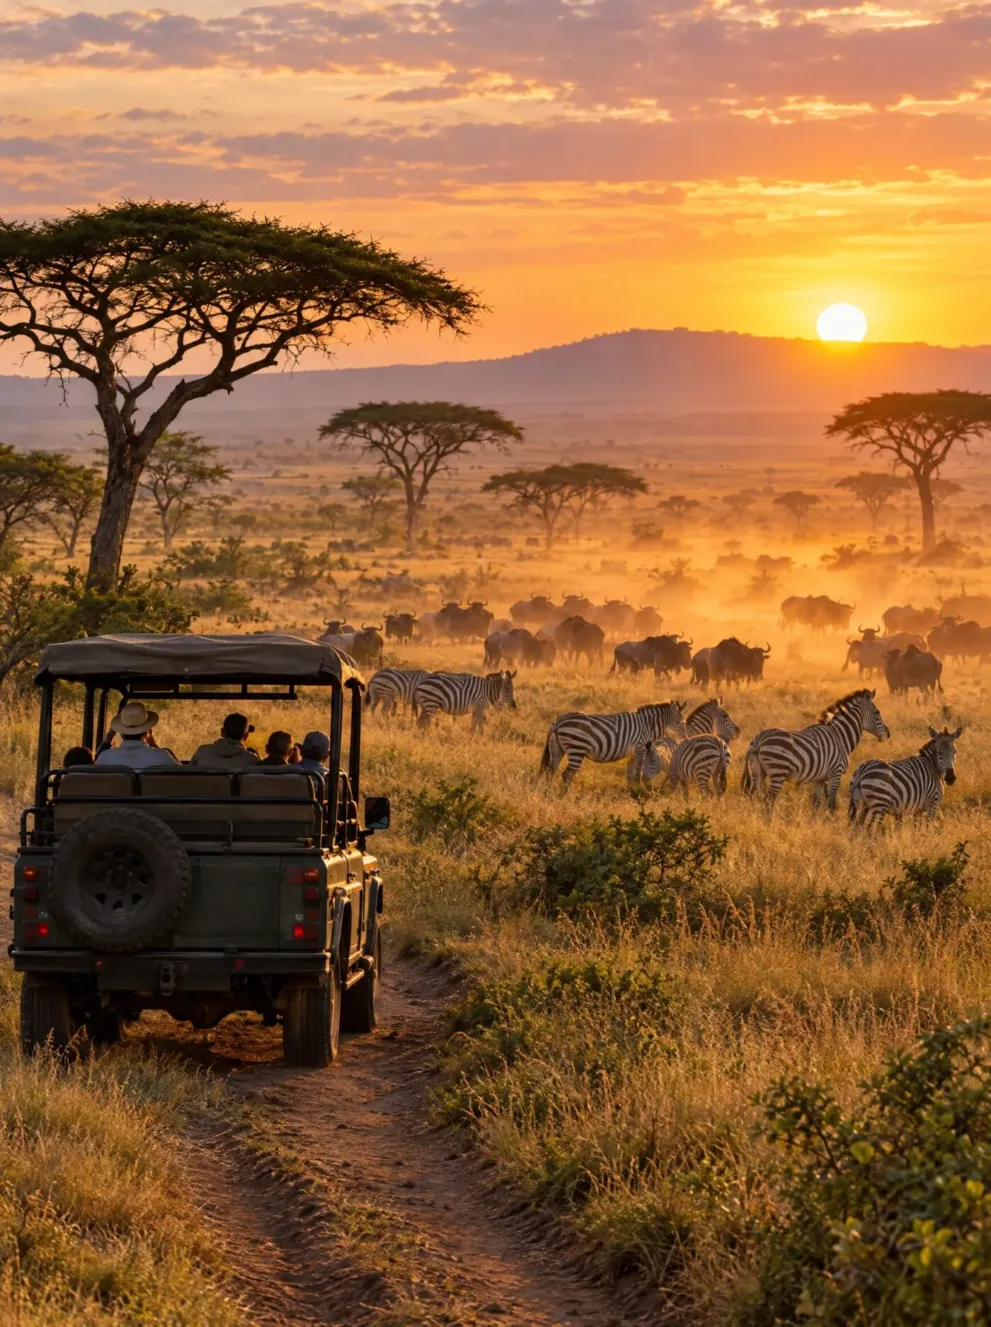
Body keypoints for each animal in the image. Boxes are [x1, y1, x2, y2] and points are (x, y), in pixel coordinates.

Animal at [541, 701, 687, 787]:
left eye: (684, 723)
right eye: (678, 723)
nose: (685, 740)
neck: (647, 725)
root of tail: (559, 721)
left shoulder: (632, 754)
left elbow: (630, 777)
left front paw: (631, 795)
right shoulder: (640, 748)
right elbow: (637, 774)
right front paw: (638, 792)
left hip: (557, 748)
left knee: (550, 771)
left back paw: (549, 795)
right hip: (577, 749)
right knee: (566, 775)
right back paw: (562, 796)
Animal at [742, 688, 890, 811]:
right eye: (877, 713)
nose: (888, 735)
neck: (840, 736)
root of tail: (759, 740)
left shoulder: (820, 779)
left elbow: (816, 804)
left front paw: (812, 824)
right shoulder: (835, 774)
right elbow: (831, 803)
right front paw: (830, 825)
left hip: (758, 770)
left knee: (753, 796)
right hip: (778, 771)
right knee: (768, 800)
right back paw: (768, 822)